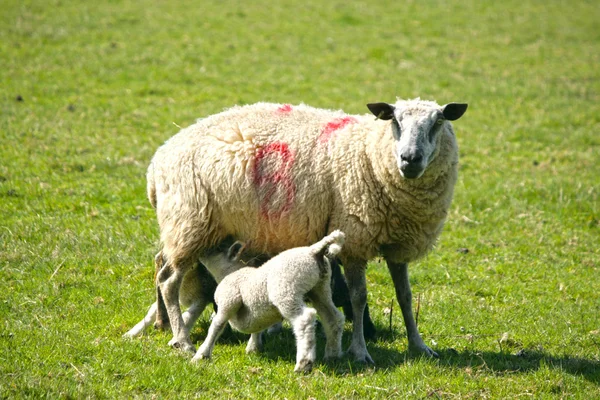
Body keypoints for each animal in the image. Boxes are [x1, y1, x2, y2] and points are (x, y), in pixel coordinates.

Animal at [190, 230, 344, 374]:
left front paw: (201, 355)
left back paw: (304, 364)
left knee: (304, 320)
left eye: (218, 248)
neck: (229, 272)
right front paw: (253, 348)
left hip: (286, 291)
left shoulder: (228, 301)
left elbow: (216, 326)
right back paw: (333, 355)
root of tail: (313, 251)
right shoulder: (255, 311)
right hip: (321, 289)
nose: (200, 252)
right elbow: (257, 327)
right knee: (333, 318)